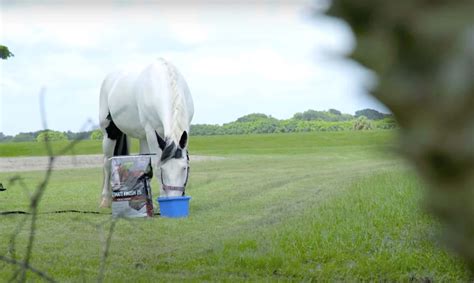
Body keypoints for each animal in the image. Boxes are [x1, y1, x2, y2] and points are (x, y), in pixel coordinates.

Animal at [98, 58, 193, 209]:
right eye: (163, 170)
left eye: (184, 168)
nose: (175, 198)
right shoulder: (151, 132)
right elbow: (155, 163)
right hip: (110, 134)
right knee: (107, 163)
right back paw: (105, 200)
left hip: (142, 137)